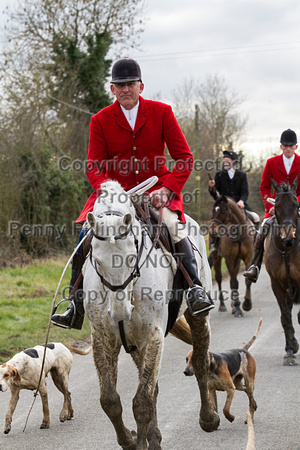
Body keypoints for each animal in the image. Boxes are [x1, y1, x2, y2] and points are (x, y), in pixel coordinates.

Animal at [81, 181, 218, 450]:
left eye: (131, 257)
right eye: (97, 261)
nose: (120, 312)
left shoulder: (152, 335)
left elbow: (142, 401)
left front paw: (140, 442)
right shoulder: (103, 339)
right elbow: (110, 400)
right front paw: (131, 440)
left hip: (196, 318)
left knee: (200, 361)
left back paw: (208, 418)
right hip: (135, 343)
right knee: (153, 386)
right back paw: (154, 437)